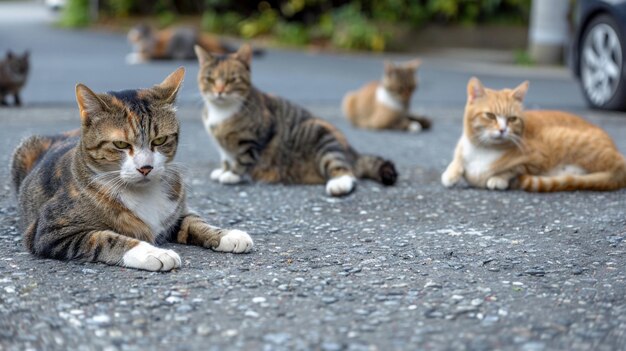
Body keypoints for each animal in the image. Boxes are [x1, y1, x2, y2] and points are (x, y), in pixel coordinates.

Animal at [195, 44, 398, 197]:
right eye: (209, 79)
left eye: (232, 79)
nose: (219, 91)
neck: (220, 112)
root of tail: (352, 152)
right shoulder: (223, 148)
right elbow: (226, 157)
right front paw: (223, 170)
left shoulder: (253, 140)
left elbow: (243, 159)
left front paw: (232, 175)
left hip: (321, 136)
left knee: (344, 170)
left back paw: (339, 184)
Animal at [438, 77, 624, 192]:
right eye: (490, 116)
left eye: (512, 119)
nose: (502, 129)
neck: (483, 150)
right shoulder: (462, 147)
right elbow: (458, 161)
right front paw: (451, 174)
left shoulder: (537, 158)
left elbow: (514, 169)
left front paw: (498, 178)